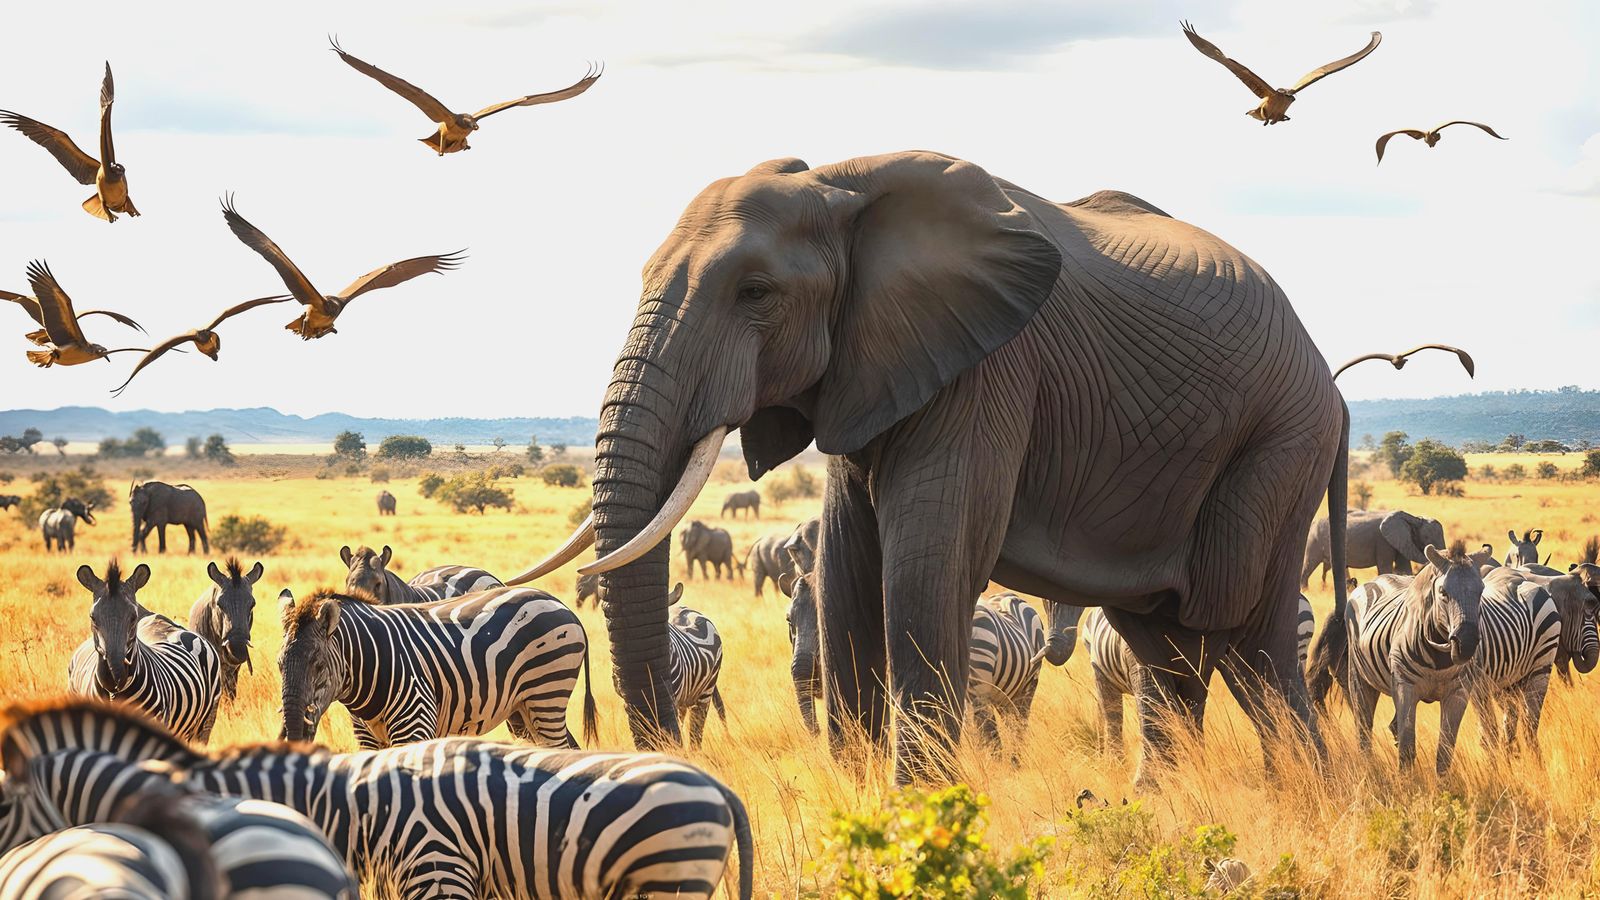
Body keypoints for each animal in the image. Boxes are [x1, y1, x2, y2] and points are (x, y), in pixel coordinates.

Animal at [513, 151, 1347, 784]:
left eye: (756, 292)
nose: (659, 757)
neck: (843, 185)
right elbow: (847, 570)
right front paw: (862, 802)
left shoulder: (989, 370)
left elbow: (923, 571)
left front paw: (922, 812)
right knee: (1168, 644)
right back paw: (1172, 803)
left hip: (1279, 442)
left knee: (1241, 629)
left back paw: (1307, 799)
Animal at [1302, 509, 1442, 588]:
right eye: (1426, 538)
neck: (1414, 518)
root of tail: (1313, 522)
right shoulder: (1383, 542)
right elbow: (1385, 568)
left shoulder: (1401, 539)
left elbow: (1403, 568)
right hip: (1314, 540)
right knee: (1308, 566)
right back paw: (1306, 591)